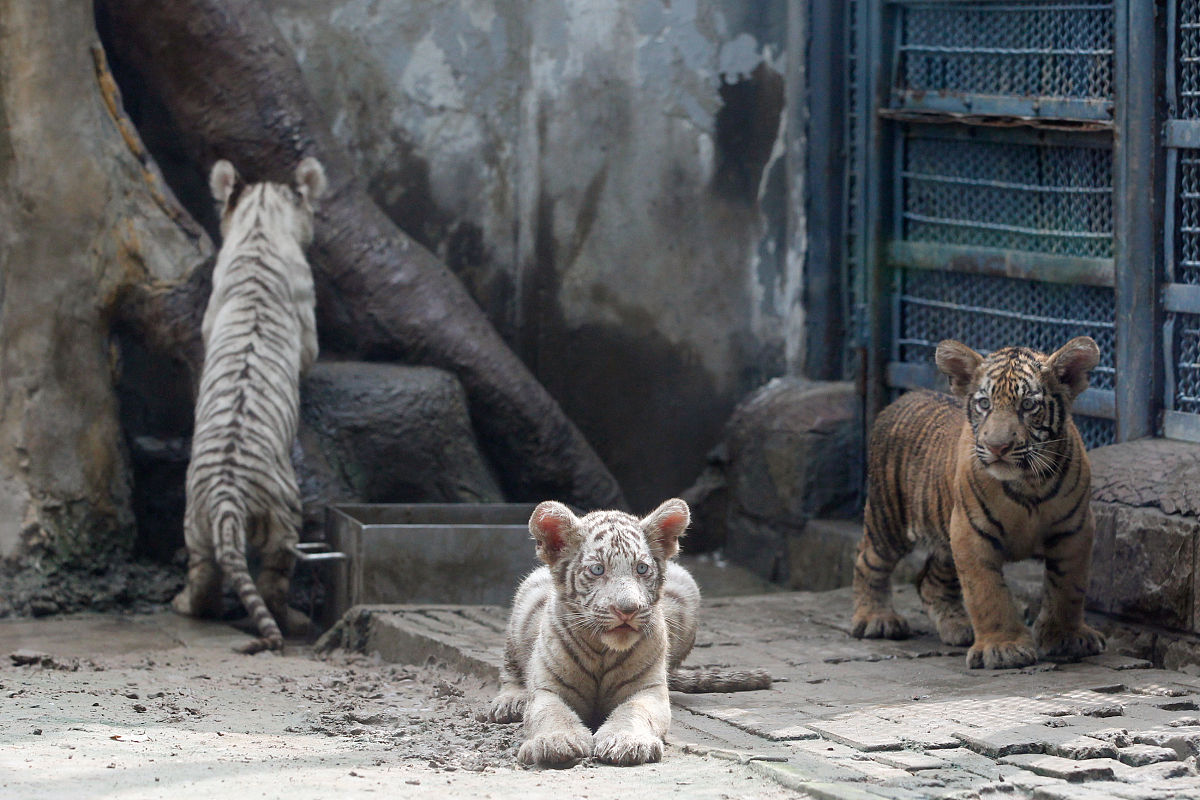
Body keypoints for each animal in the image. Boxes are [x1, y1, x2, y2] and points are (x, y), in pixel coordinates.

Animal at [171, 157, 326, 655]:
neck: (260, 225)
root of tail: (225, 492)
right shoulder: (308, 320)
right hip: (284, 516)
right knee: (273, 580)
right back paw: (293, 619)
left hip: (195, 521)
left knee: (204, 572)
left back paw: (184, 604)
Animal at [485, 499, 771, 767]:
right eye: (598, 569)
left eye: (641, 569)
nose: (628, 610)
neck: (603, 650)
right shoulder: (548, 688)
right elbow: (551, 713)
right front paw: (556, 741)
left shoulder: (648, 689)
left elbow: (635, 711)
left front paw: (627, 741)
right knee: (510, 670)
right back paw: (510, 702)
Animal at [851, 337, 1106, 670]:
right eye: (984, 404)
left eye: (1028, 405)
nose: (997, 446)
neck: (1028, 482)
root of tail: (902, 399)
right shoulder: (970, 533)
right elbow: (987, 592)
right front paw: (1003, 648)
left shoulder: (1074, 530)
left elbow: (1069, 588)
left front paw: (1067, 637)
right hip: (889, 519)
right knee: (868, 561)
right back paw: (876, 619)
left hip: (942, 535)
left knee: (929, 580)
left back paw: (958, 626)